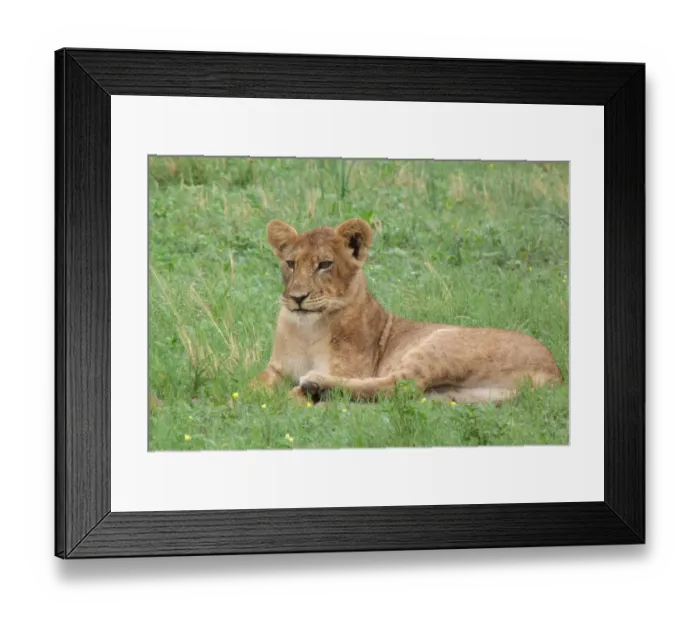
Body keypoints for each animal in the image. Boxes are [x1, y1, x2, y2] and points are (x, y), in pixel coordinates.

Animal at [256, 218, 563, 405]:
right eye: (291, 263)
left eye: (325, 265)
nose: (297, 298)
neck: (307, 330)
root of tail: (555, 372)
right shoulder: (275, 369)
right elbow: (254, 385)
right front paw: (249, 398)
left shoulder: (350, 368)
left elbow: (284, 397)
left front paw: (277, 403)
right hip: (457, 396)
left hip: (439, 345)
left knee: (399, 385)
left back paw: (314, 385)